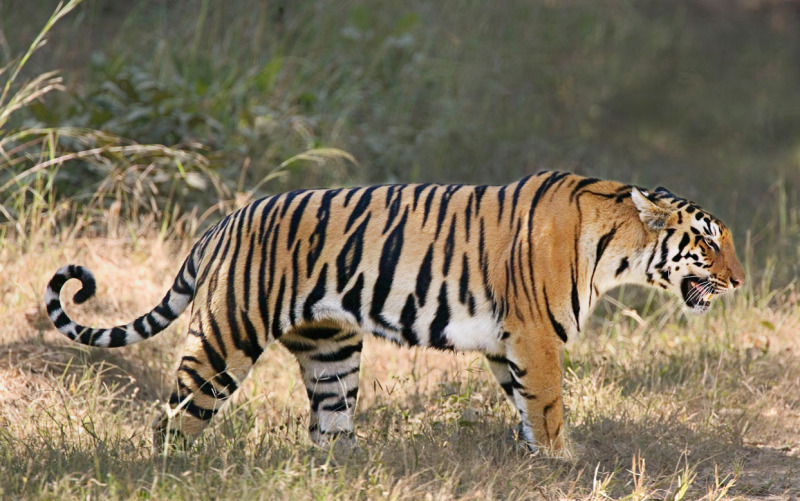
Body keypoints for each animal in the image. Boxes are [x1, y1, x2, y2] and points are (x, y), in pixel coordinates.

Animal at [44, 171, 744, 456]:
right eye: (708, 243)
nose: (739, 282)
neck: (619, 246)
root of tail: (223, 221)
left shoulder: (508, 341)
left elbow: (523, 403)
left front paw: (536, 455)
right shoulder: (535, 335)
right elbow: (546, 403)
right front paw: (561, 460)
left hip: (331, 348)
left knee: (327, 426)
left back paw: (348, 468)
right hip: (225, 337)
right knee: (174, 417)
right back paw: (172, 469)